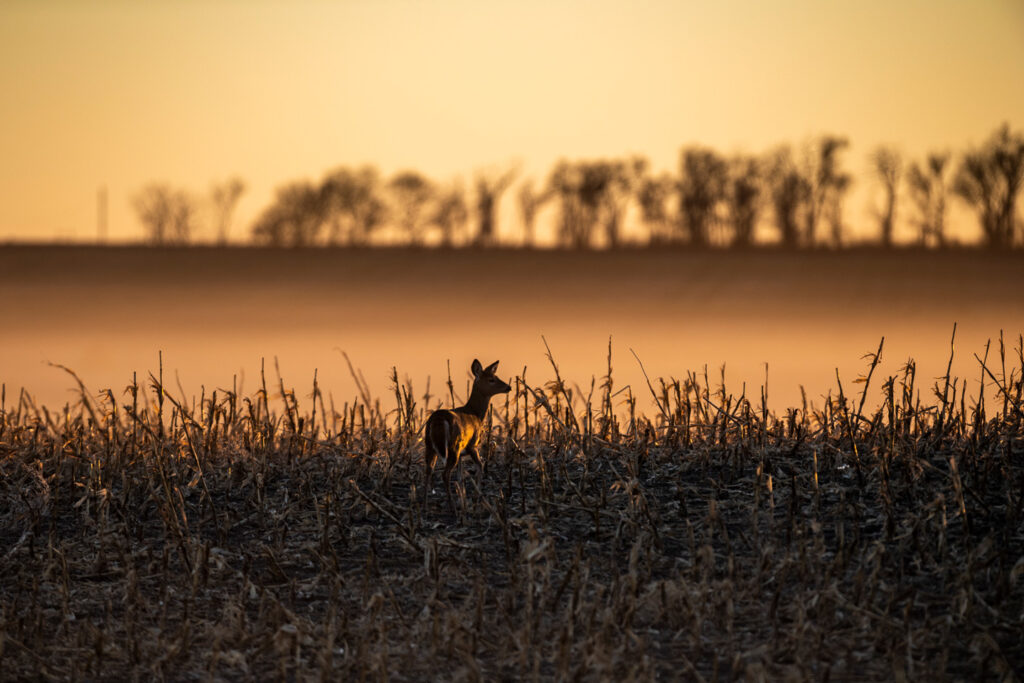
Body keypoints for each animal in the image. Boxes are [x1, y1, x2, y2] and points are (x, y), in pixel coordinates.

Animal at [421, 358, 509, 511]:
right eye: (491, 379)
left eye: (496, 376)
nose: (508, 387)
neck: (475, 413)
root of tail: (439, 420)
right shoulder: (472, 446)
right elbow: (480, 466)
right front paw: (475, 498)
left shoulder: (462, 454)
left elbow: (460, 476)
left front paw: (463, 499)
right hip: (453, 446)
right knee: (444, 474)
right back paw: (451, 507)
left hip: (430, 445)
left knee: (428, 471)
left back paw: (426, 505)